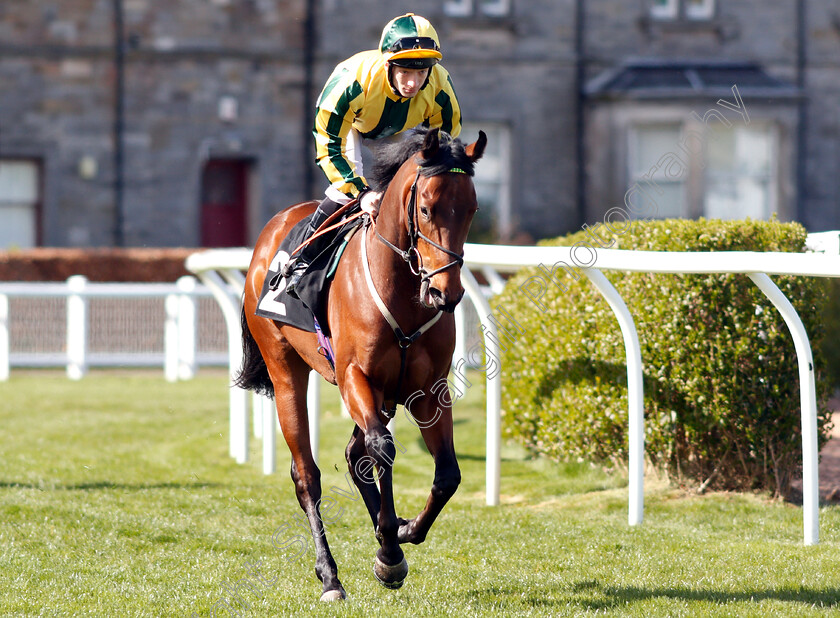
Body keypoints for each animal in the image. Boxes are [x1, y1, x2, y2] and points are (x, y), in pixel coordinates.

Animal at [235, 127, 486, 600]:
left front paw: (401, 536)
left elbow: (447, 474)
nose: (446, 293)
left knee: (356, 456)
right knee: (308, 475)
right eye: (426, 208)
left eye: (472, 208)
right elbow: (381, 450)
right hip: (286, 372)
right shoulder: (356, 376)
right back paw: (330, 575)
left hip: (384, 396)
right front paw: (387, 550)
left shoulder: (428, 391)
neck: (402, 292)